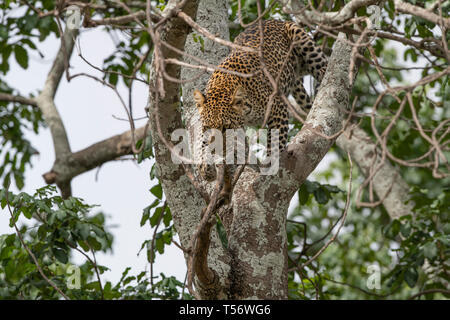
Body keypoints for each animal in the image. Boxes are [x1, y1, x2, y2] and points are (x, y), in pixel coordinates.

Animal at [192, 18, 326, 201]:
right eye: (207, 126)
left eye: (225, 127)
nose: (216, 147)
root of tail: (272, 20)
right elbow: (202, 144)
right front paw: (206, 168)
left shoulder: (277, 109)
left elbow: (275, 141)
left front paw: (270, 163)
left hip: (301, 38)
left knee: (323, 64)